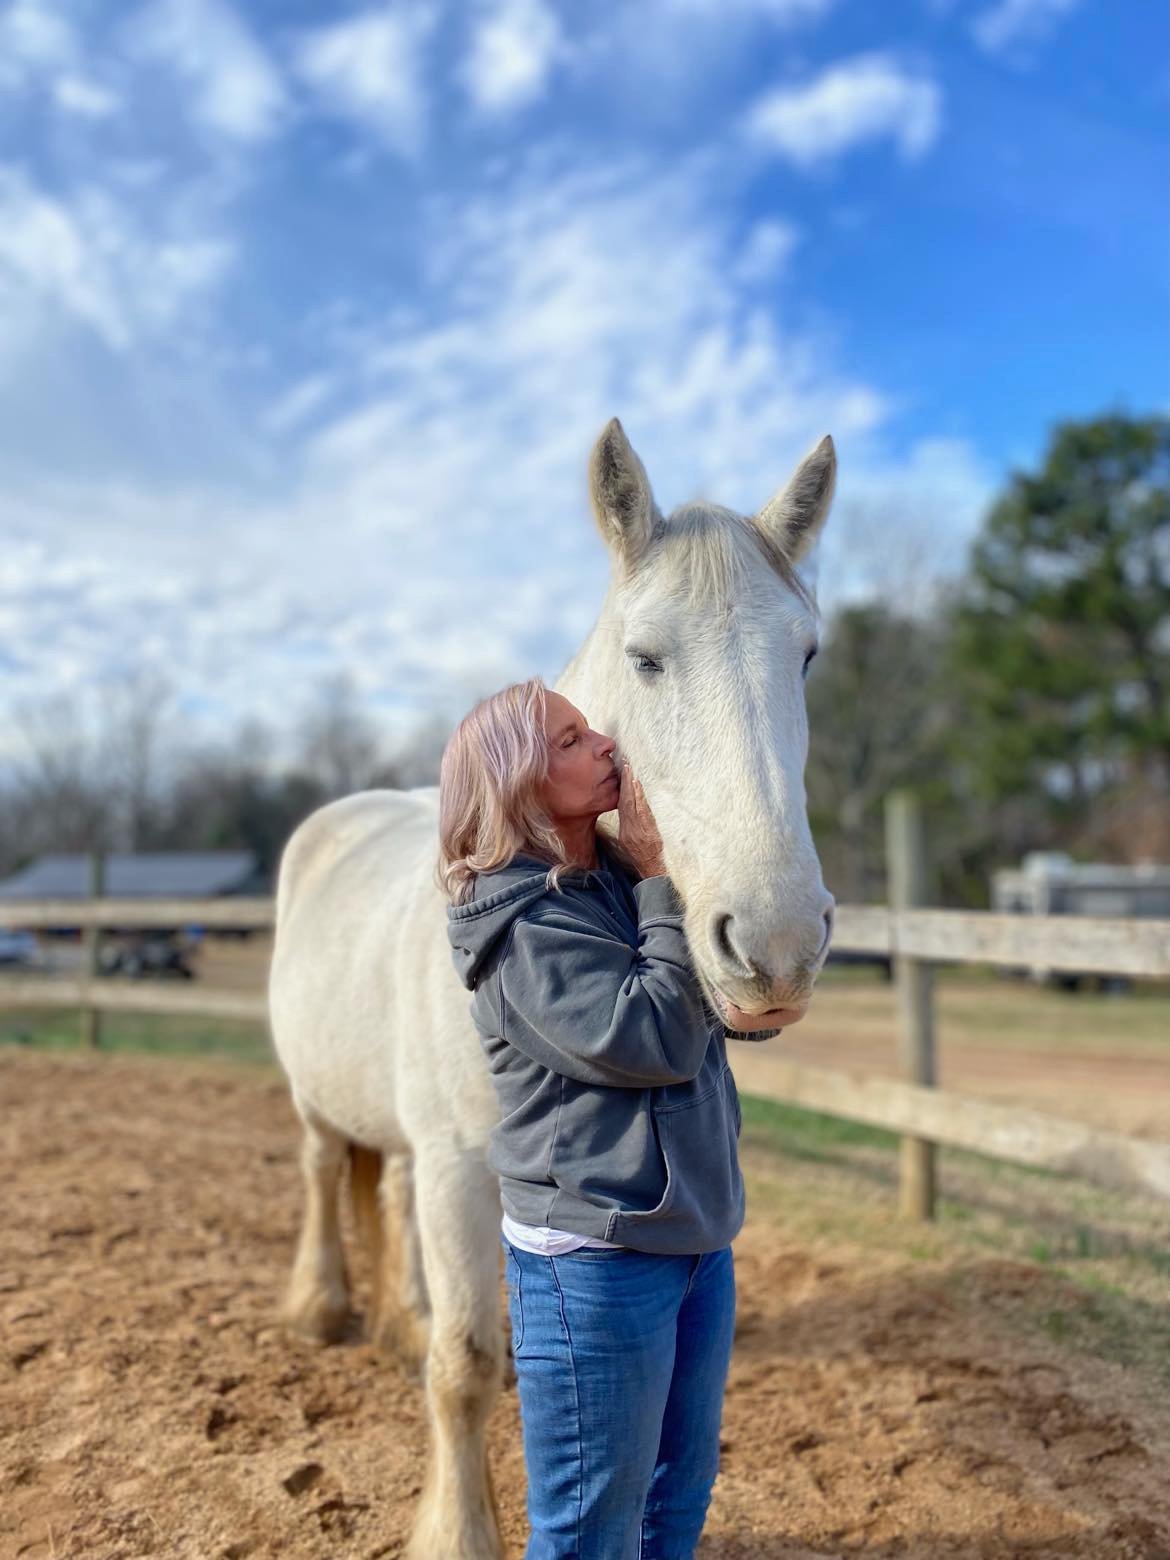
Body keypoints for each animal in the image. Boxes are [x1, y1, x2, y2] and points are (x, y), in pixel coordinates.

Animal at [269, 421, 836, 1560]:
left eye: (804, 654)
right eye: (646, 657)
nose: (779, 946)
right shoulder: (458, 1170)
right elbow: (466, 1367)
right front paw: (456, 1533)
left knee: (380, 1191)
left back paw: (395, 1317)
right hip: (318, 1100)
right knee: (322, 1172)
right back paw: (322, 1307)